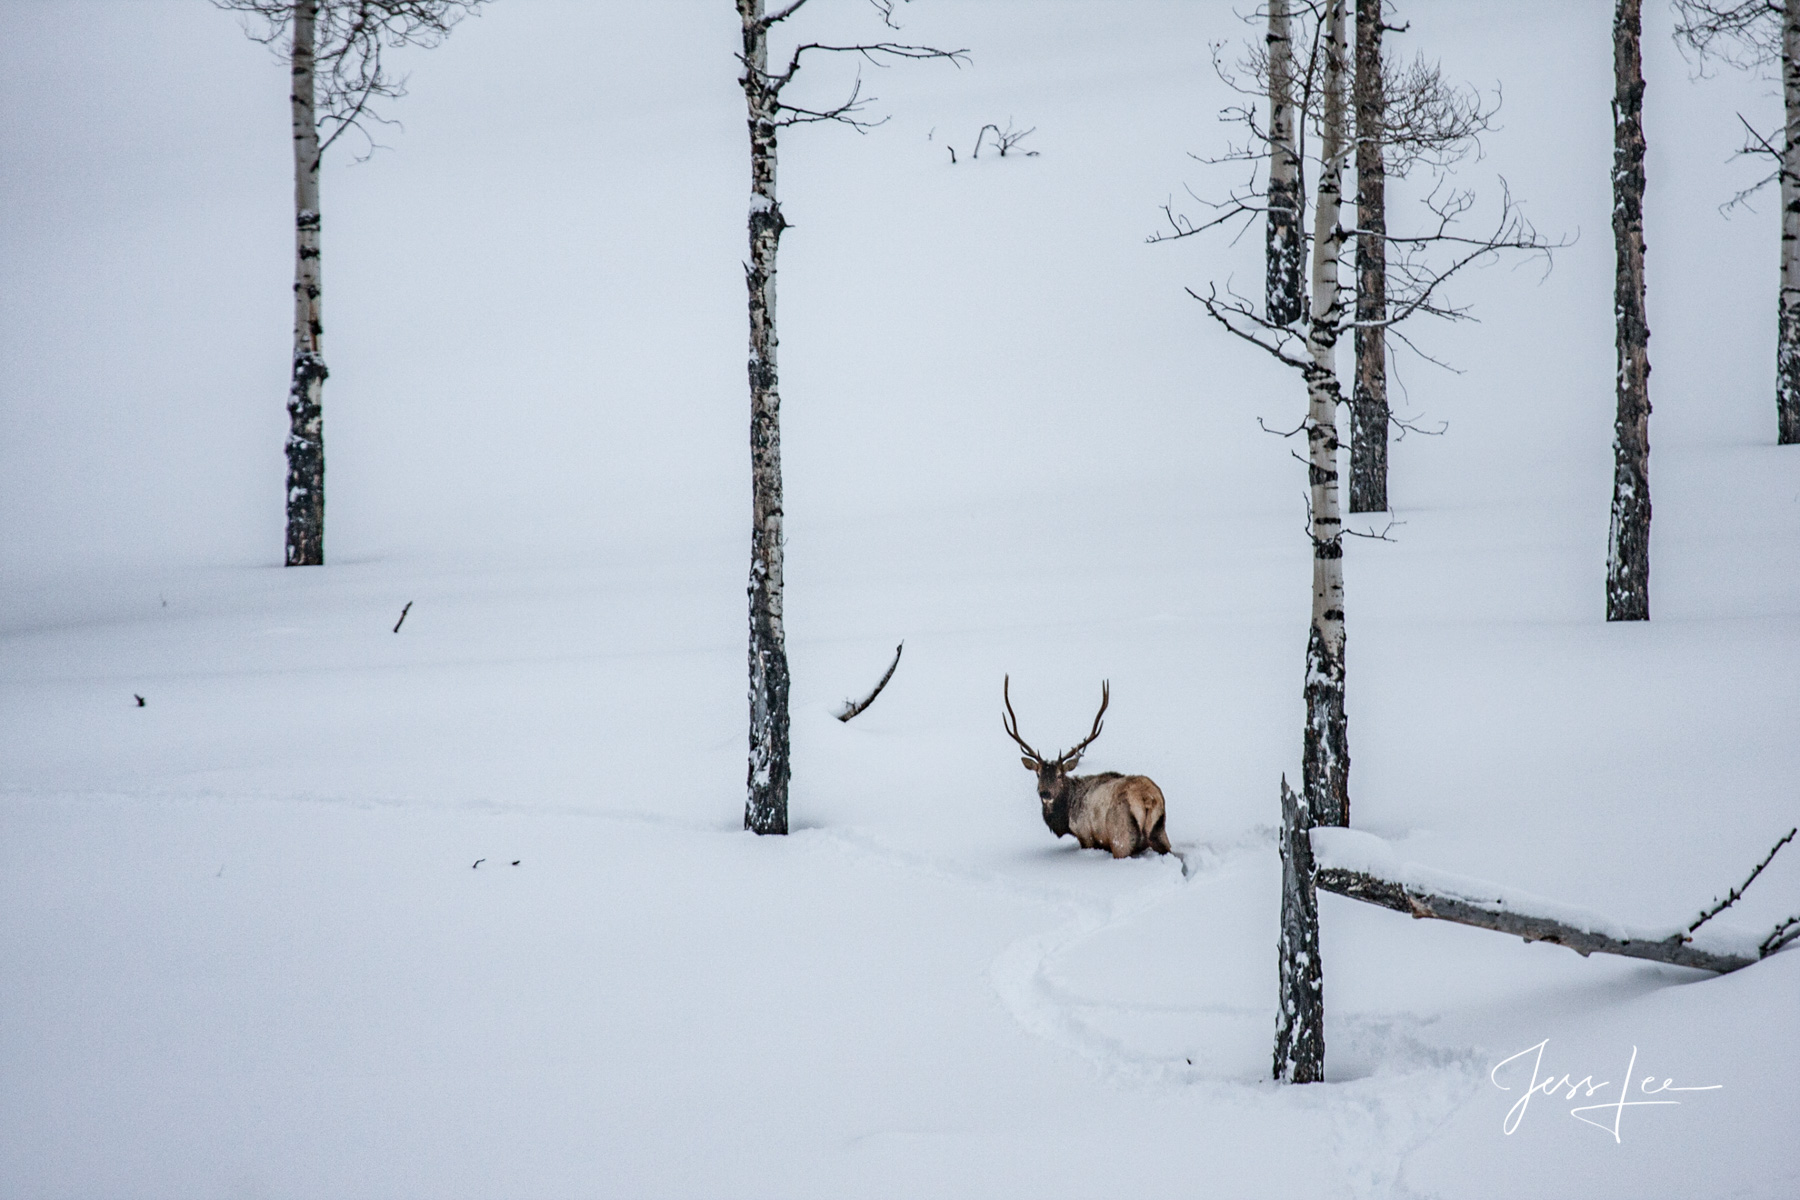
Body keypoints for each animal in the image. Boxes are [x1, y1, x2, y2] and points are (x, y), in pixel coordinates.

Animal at [1000, 676, 1166, 863]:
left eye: (1060, 775)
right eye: (1038, 774)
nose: (1045, 793)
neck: (1066, 817)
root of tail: (1147, 799)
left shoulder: (1085, 835)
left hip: (1121, 837)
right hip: (1160, 833)